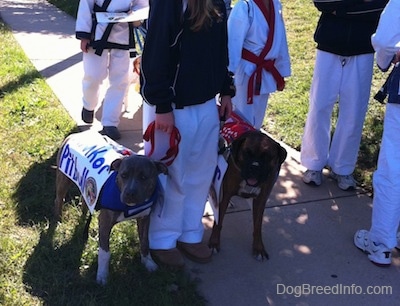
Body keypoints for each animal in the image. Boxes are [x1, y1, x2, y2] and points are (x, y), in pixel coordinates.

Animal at [54, 136, 167, 284]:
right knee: (58, 200)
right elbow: (104, 252)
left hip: (85, 185)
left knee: (85, 202)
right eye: (123, 175)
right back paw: (57, 221)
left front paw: (148, 262)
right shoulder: (105, 222)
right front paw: (102, 275)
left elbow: (144, 242)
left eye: (144, 177)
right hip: (63, 179)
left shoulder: (144, 218)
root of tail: (74, 135)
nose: (130, 193)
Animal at [209, 130, 288, 262]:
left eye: (267, 156)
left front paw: (259, 248)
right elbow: (218, 222)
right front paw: (214, 242)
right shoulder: (225, 195)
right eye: (246, 153)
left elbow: (257, 227)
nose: (254, 166)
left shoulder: (260, 200)